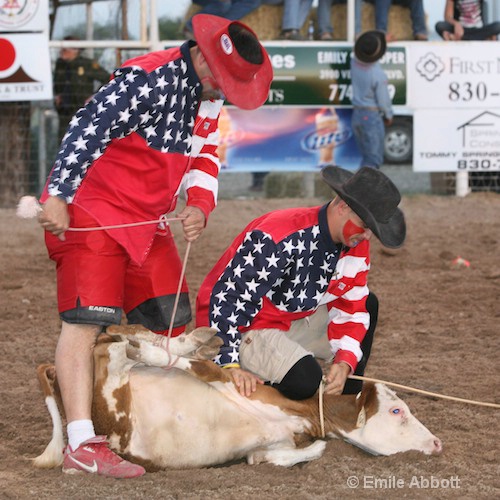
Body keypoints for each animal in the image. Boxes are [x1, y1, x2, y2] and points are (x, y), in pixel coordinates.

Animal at [34, 326, 442, 470]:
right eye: (398, 410)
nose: (437, 442)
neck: (303, 413)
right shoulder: (236, 385)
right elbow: (201, 369)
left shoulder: (275, 443)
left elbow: (283, 455)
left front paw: (310, 450)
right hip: (112, 387)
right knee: (111, 344)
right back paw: (179, 342)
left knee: (111, 341)